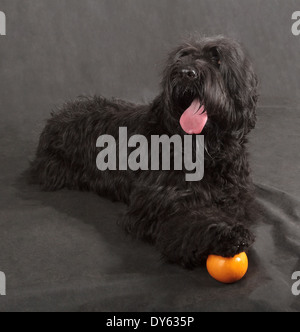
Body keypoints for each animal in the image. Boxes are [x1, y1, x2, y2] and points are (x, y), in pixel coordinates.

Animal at [31, 35, 258, 268]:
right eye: (182, 56)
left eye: (217, 59)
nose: (186, 73)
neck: (201, 148)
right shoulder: (156, 204)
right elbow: (190, 217)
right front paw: (227, 233)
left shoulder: (235, 195)